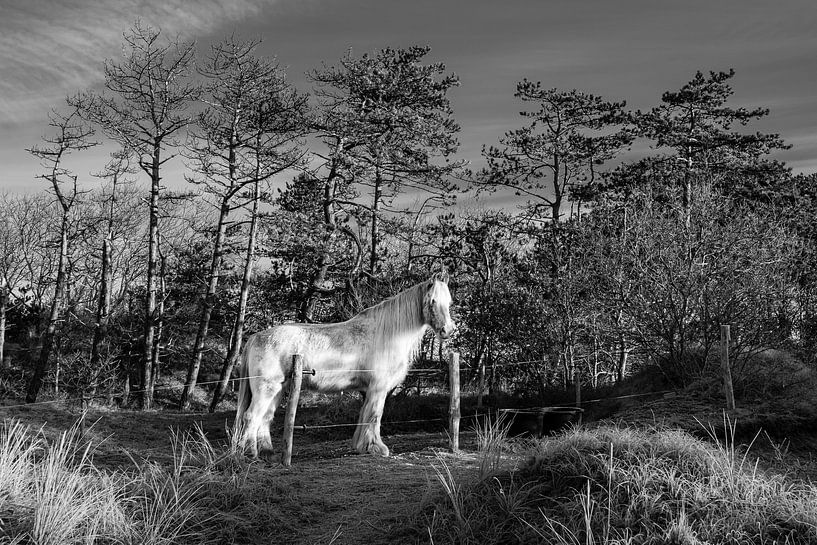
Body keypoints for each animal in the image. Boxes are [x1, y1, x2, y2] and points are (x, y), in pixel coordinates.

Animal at [233, 272, 456, 454]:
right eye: (432, 301)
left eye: (449, 303)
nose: (448, 330)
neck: (386, 335)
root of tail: (256, 337)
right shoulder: (378, 388)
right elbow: (375, 415)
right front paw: (377, 448)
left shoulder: (369, 390)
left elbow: (364, 415)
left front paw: (361, 446)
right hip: (266, 389)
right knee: (251, 416)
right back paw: (250, 452)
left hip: (278, 390)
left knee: (265, 417)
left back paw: (266, 451)